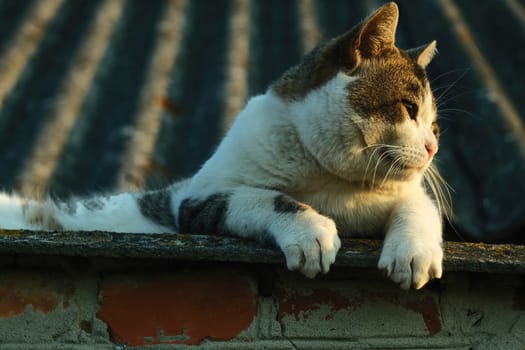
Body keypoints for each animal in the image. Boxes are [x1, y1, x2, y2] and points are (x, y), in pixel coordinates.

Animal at [0, 2, 446, 290]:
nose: (431, 149)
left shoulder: (399, 195)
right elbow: (265, 198)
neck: (331, 181)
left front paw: (413, 253)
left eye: (435, 127)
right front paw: (310, 232)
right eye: (408, 109)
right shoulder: (196, 200)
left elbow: (419, 205)